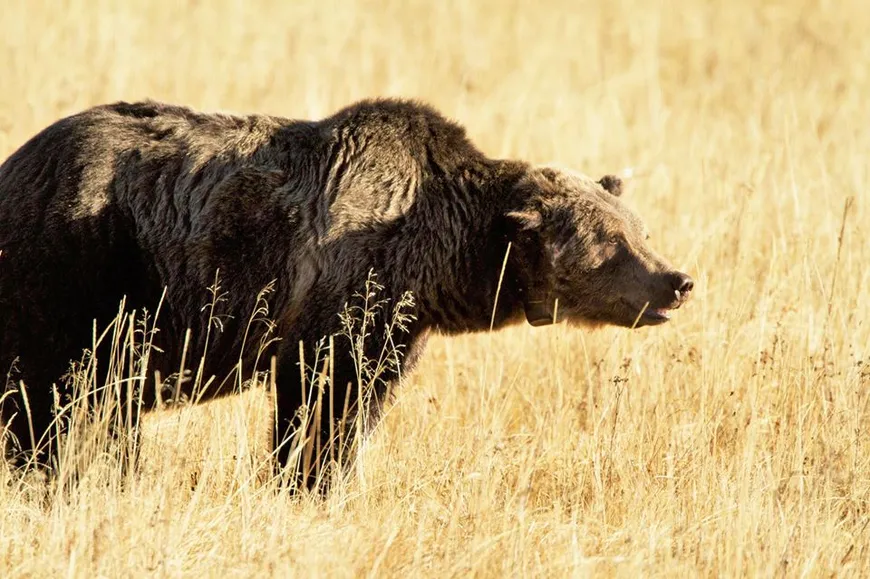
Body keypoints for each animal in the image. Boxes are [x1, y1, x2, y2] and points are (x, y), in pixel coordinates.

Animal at [0, 98, 693, 488]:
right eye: (611, 242)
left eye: (641, 229)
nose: (678, 280)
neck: (435, 250)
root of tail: (17, 162)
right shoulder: (331, 293)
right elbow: (316, 398)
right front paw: (301, 480)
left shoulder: (395, 325)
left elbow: (361, 403)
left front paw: (331, 476)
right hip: (80, 267)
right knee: (42, 401)